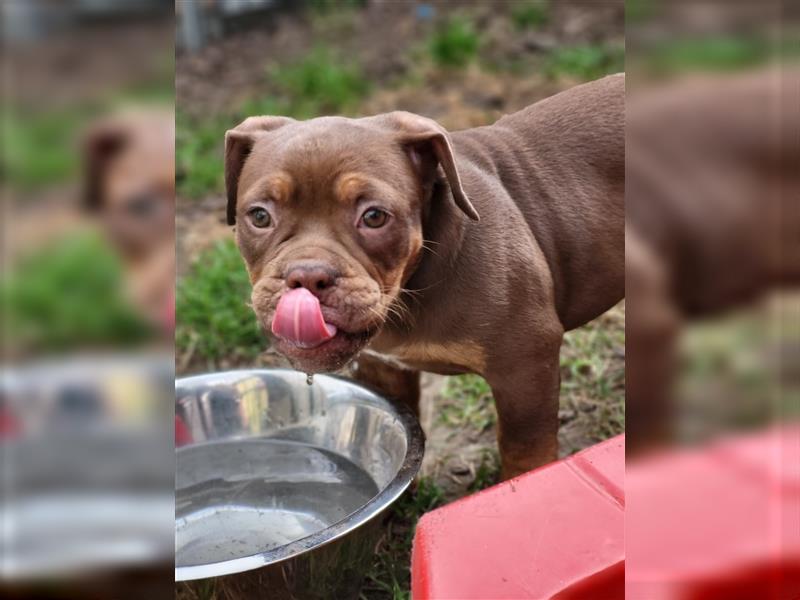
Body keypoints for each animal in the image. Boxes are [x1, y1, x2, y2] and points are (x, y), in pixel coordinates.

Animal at [225, 75, 624, 478]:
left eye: (374, 216)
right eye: (259, 216)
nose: (307, 276)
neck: (411, 285)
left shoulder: (525, 363)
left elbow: (524, 450)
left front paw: (527, 482)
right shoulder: (384, 367)